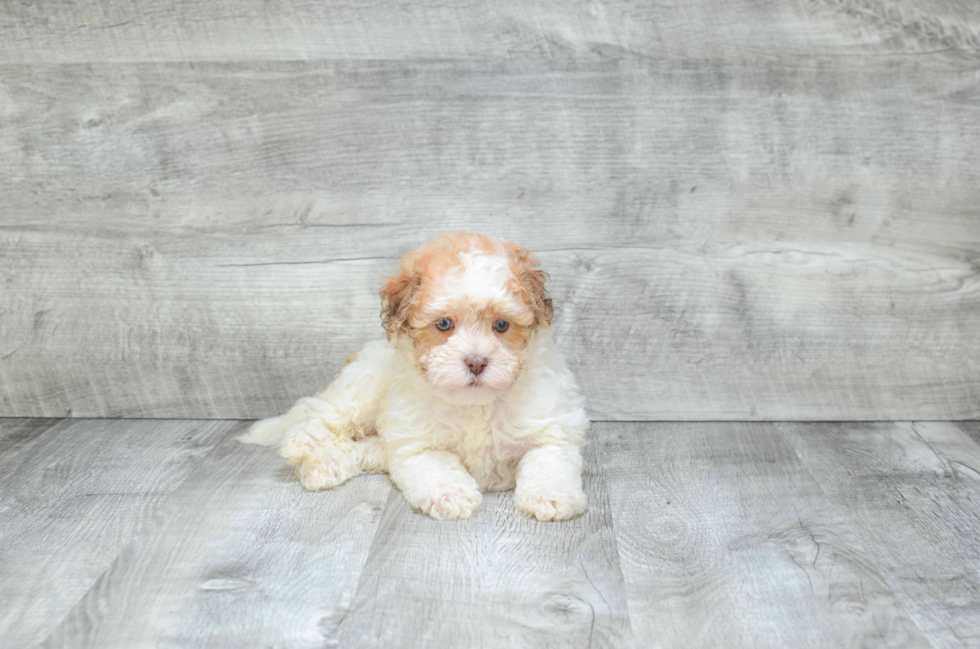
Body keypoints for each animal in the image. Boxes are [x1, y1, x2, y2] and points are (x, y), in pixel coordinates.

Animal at [237, 233, 588, 520]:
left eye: (501, 325)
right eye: (444, 324)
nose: (476, 362)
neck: (476, 405)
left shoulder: (552, 430)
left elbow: (548, 461)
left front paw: (550, 497)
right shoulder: (418, 444)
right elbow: (439, 466)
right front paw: (452, 495)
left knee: (361, 448)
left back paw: (321, 467)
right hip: (360, 388)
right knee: (319, 411)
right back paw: (300, 443)